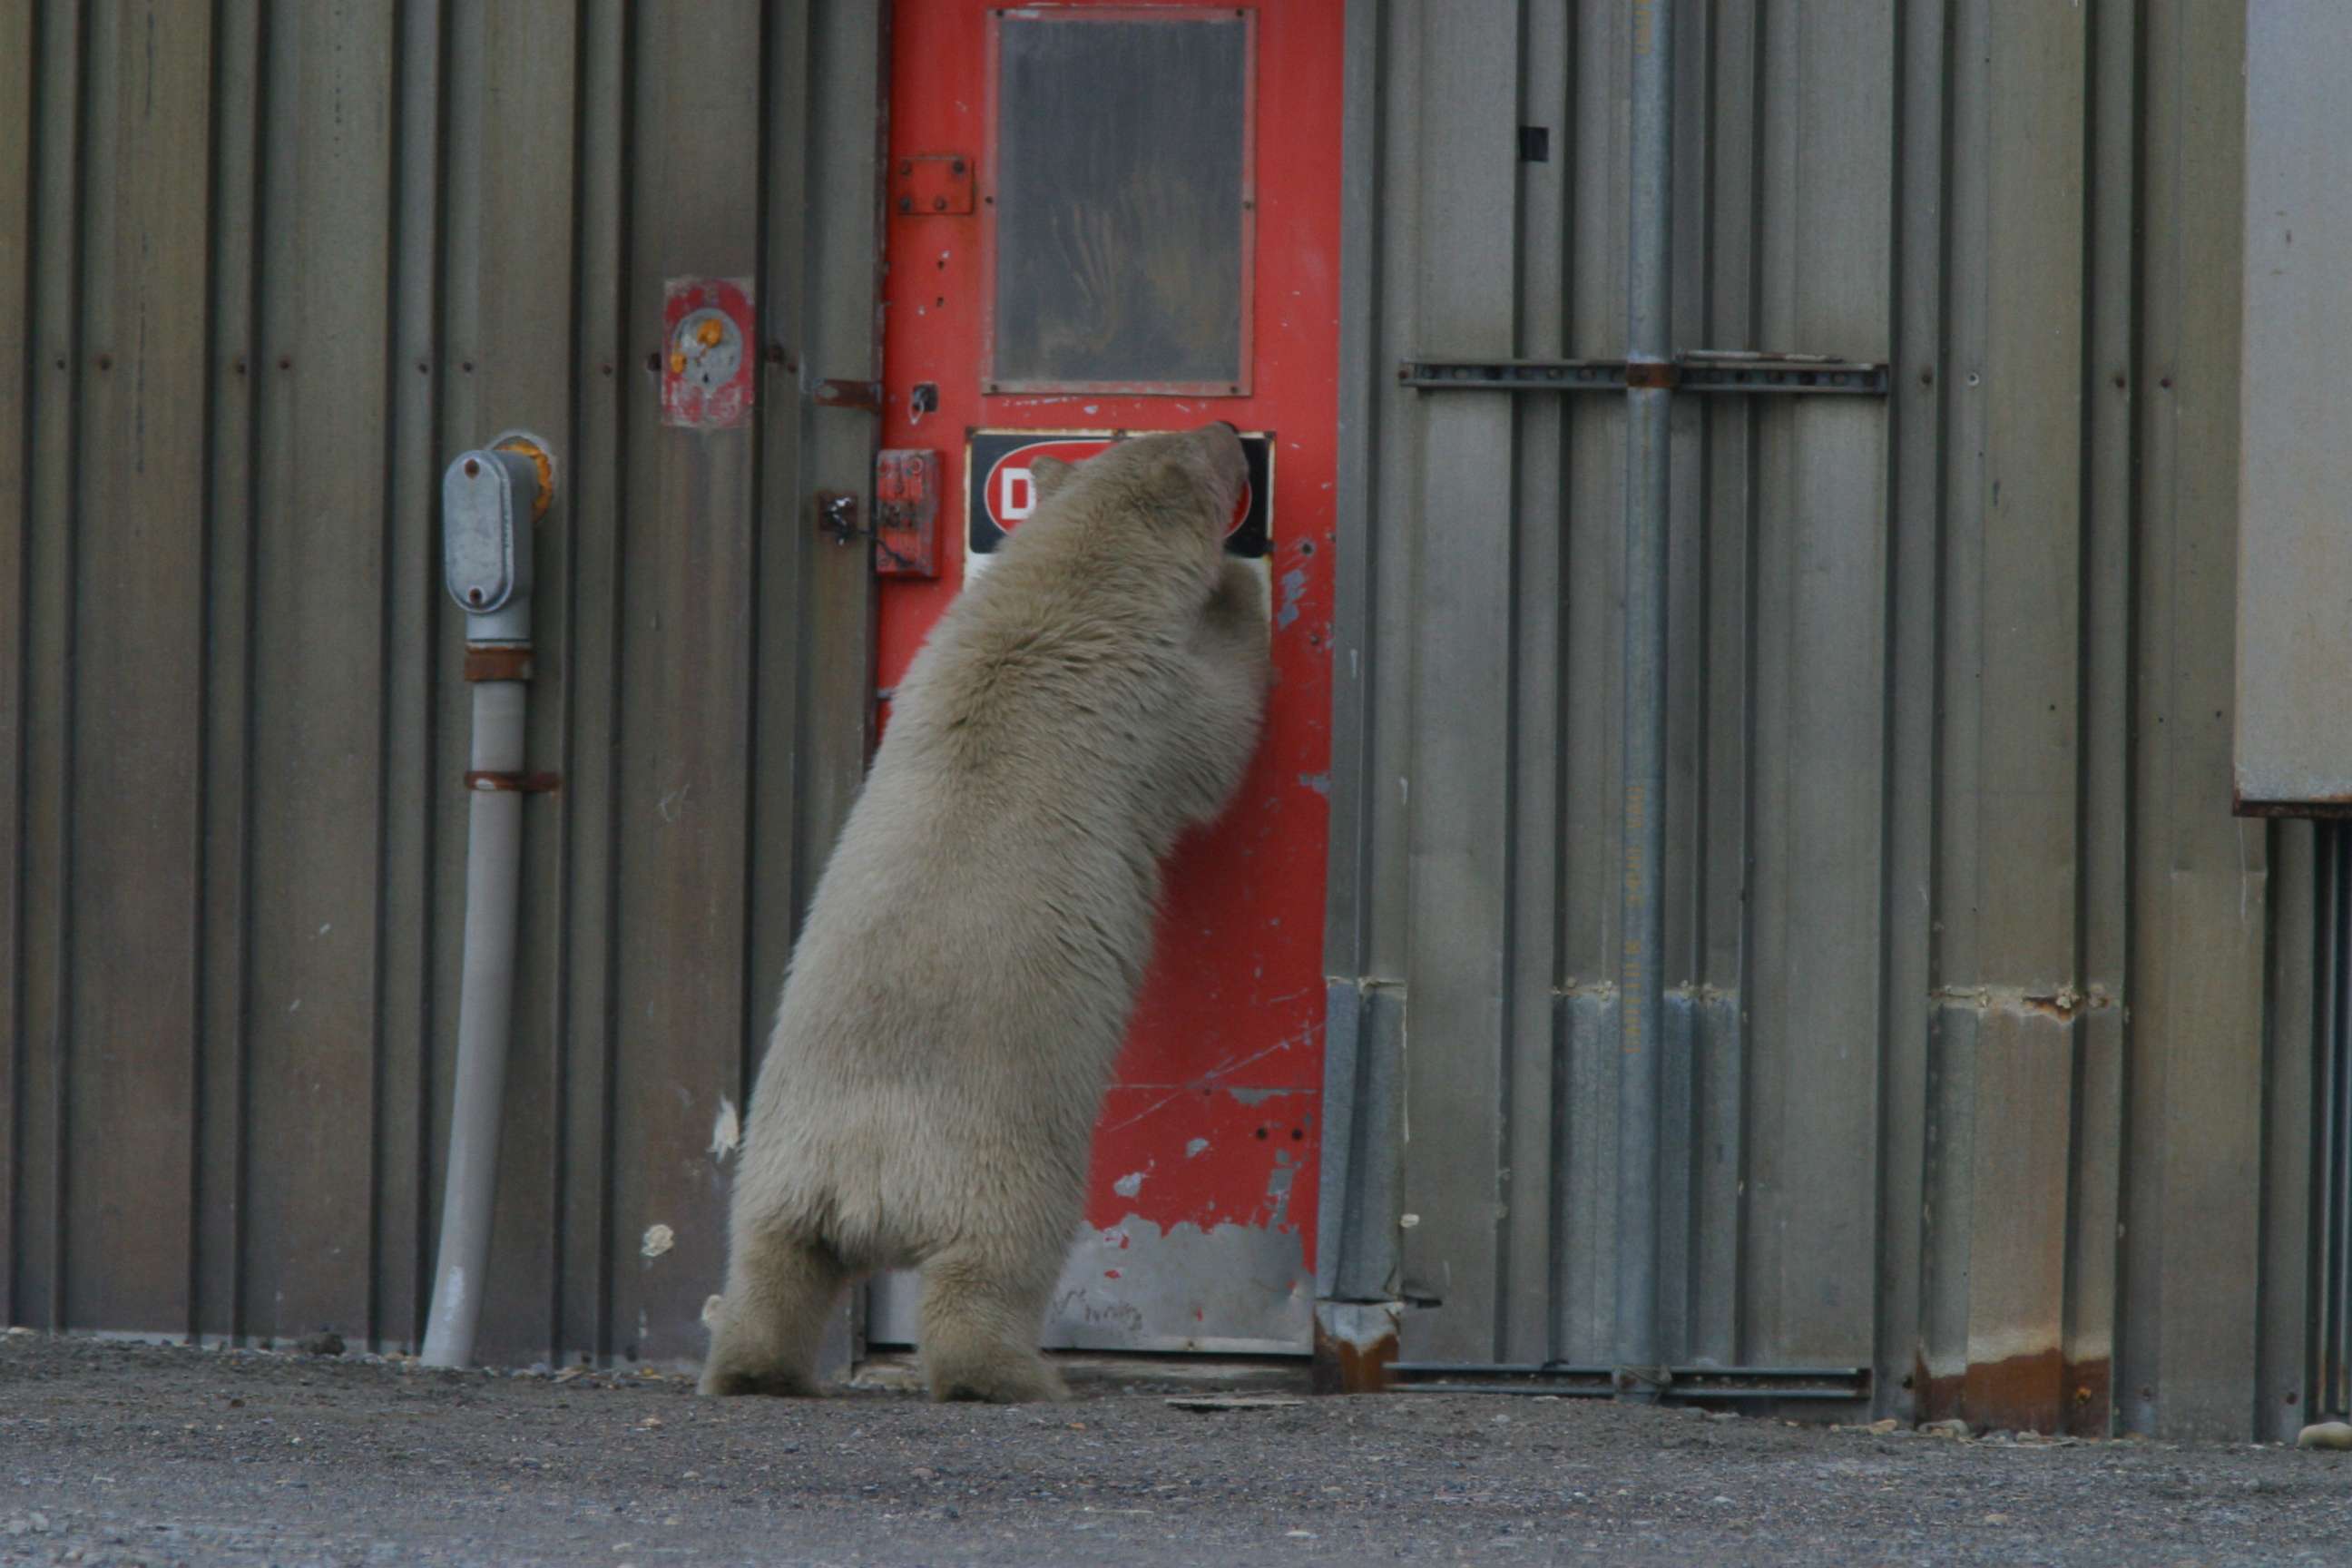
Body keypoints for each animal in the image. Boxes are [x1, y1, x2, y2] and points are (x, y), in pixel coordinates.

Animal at [701, 423, 1269, 1401]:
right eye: (1205, 450)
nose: (1233, 432)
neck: (1050, 601)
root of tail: (866, 1182)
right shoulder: (1145, 702)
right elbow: (1218, 734)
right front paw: (1239, 593)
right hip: (1001, 1165)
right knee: (995, 1268)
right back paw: (1016, 1374)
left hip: (778, 1165)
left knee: (772, 1262)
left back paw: (750, 1366)